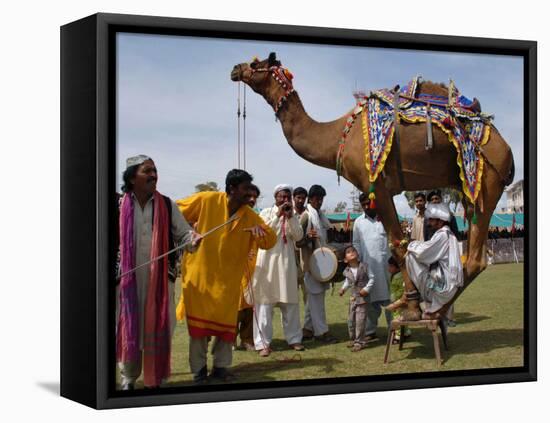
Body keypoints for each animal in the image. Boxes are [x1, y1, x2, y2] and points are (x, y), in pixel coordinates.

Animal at [232, 53, 516, 322]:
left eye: (256, 63)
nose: (235, 68)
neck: (338, 137)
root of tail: (507, 151)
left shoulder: (378, 184)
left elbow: (399, 244)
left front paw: (411, 307)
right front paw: (405, 302)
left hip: (487, 181)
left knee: (476, 259)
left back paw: (434, 309)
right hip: (469, 189)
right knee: (472, 251)